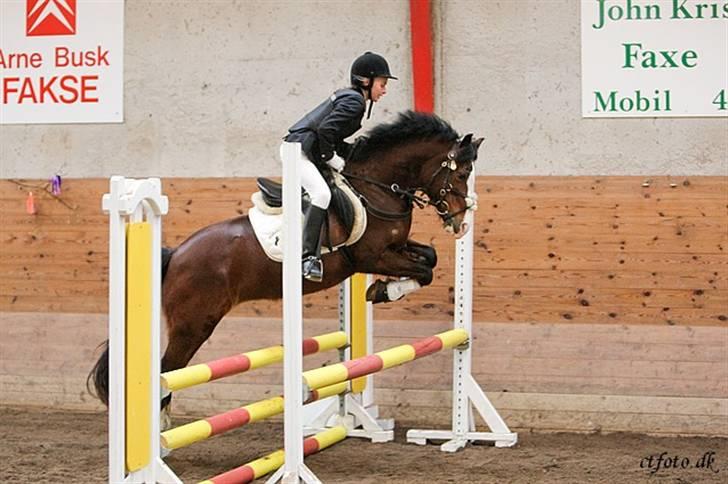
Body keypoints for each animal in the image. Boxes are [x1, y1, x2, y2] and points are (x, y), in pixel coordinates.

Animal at [89, 109, 484, 416]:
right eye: (460, 173)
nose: (461, 222)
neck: (374, 187)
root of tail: (176, 255)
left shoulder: (395, 248)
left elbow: (429, 259)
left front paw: (381, 290)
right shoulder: (373, 255)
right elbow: (424, 270)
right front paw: (385, 291)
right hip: (193, 324)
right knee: (165, 372)